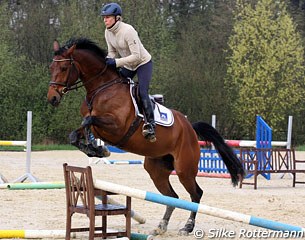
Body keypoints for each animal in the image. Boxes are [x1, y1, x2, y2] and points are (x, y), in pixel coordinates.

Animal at [46, 37, 243, 236]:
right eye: (51, 67)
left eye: (64, 68)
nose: (52, 98)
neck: (101, 89)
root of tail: (190, 128)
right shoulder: (98, 127)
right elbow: (76, 133)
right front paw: (96, 149)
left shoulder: (117, 126)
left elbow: (88, 120)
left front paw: (98, 149)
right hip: (156, 170)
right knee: (172, 197)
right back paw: (161, 226)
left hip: (184, 169)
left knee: (196, 193)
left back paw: (187, 227)